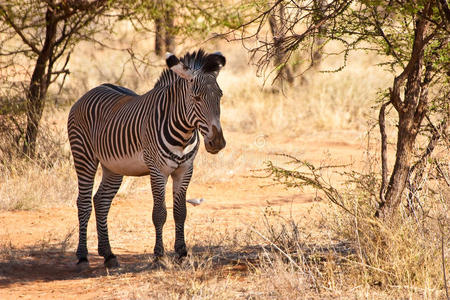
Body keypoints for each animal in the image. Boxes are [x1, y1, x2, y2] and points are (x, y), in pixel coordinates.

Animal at [67, 50, 227, 268]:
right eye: (196, 98)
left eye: (220, 95)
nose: (217, 142)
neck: (183, 133)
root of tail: (91, 91)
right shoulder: (158, 171)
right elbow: (159, 213)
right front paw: (159, 255)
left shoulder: (185, 170)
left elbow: (180, 212)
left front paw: (182, 253)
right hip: (84, 157)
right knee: (83, 203)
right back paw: (83, 256)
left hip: (113, 167)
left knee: (101, 201)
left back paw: (109, 255)